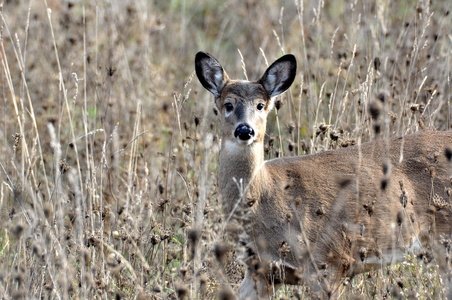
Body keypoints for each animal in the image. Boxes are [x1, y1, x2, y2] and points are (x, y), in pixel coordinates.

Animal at [194, 51, 452, 298]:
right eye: (228, 104)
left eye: (260, 105)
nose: (245, 130)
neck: (266, 194)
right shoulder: (260, 270)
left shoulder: (328, 260)